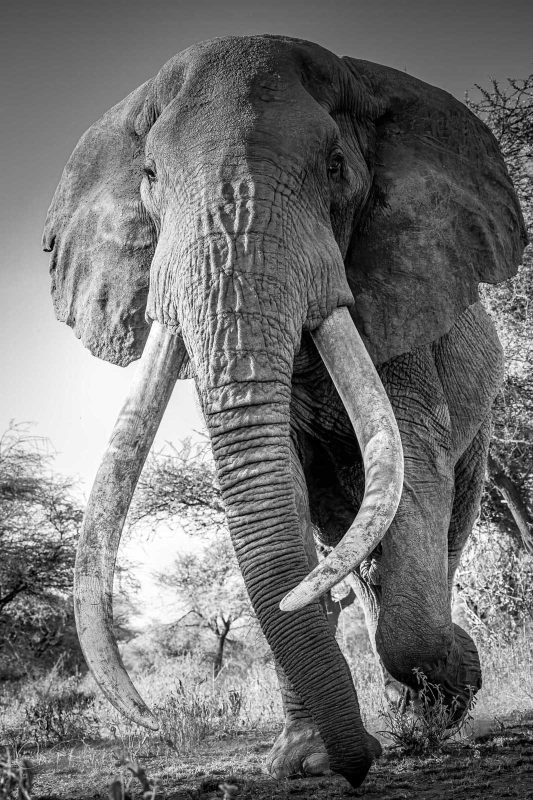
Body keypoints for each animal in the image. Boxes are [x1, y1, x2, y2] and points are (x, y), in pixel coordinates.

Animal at [41, 36, 524, 788]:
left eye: (334, 167)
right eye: (148, 175)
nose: (355, 771)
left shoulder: (403, 298)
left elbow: (415, 462)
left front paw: (455, 681)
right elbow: (284, 485)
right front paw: (305, 761)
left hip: (482, 414)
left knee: (441, 523)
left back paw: (431, 704)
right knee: (344, 542)